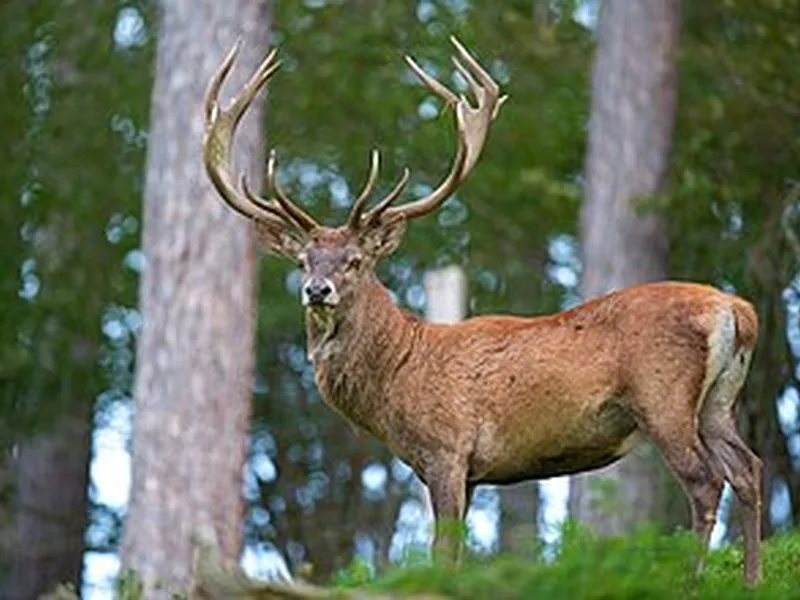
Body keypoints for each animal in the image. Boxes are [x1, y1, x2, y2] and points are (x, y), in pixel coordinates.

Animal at [202, 38, 762, 585]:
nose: (317, 290)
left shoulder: (447, 450)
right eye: (303, 260)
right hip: (717, 402)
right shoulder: (467, 471)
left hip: (663, 397)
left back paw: (692, 580)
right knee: (748, 469)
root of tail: (737, 310)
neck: (398, 373)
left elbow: (443, 552)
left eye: (355, 261)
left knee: (705, 481)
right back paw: (753, 579)